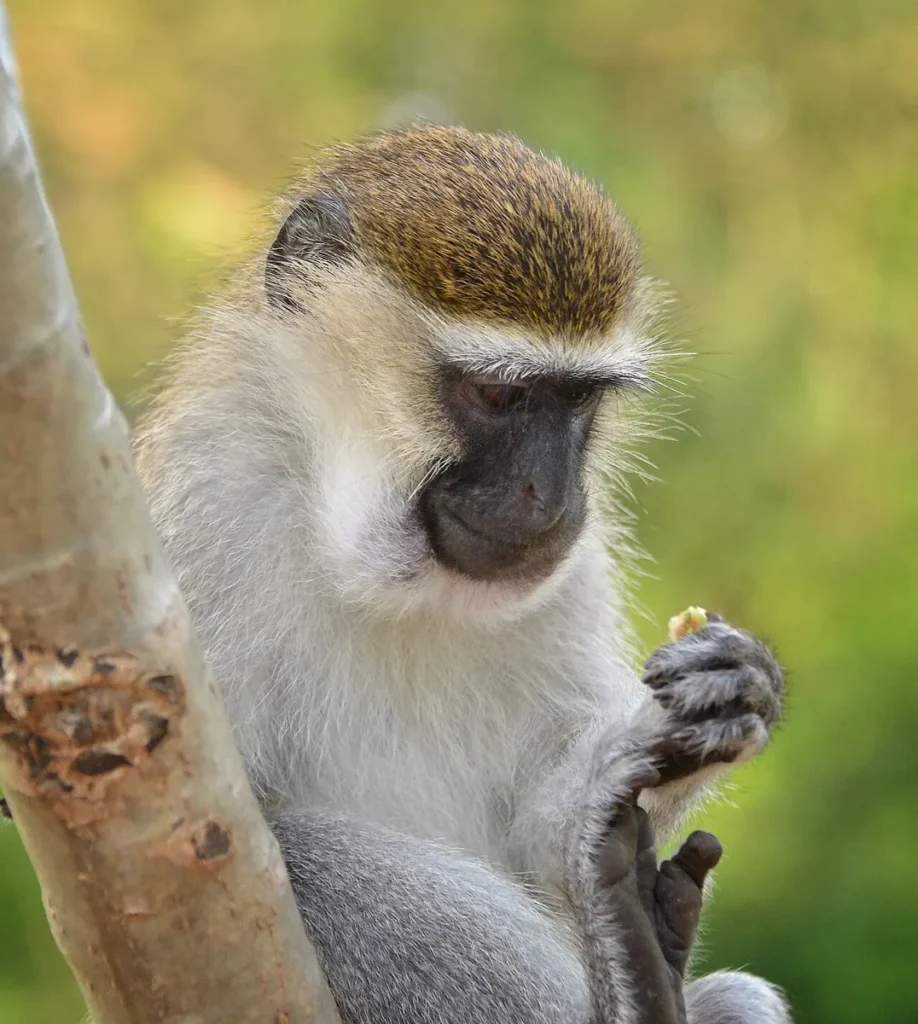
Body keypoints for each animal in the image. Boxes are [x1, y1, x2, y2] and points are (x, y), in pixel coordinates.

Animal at [135, 126, 791, 1023]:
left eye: (578, 403)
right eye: (498, 396)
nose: (551, 493)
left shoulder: (570, 574)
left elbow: (538, 837)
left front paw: (705, 706)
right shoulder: (206, 500)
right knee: (307, 852)